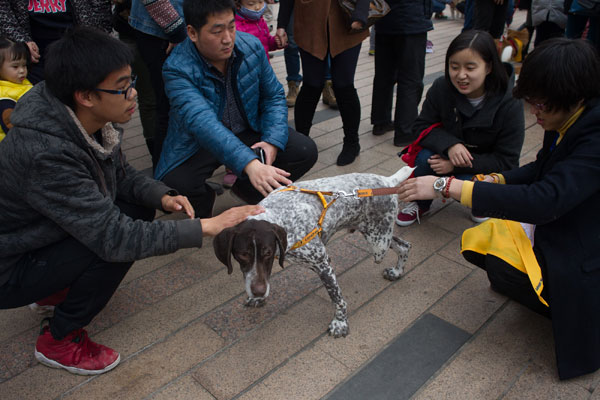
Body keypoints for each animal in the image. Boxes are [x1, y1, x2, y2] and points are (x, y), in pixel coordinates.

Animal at [213, 166, 414, 338]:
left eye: (268, 253)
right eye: (242, 255)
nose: (258, 293)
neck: (280, 216)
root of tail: (388, 180)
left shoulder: (323, 265)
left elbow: (337, 298)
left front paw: (340, 323)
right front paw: (256, 298)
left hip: (378, 242)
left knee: (401, 246)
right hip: (373, 234)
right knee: (405, 246)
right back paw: (397, 272)